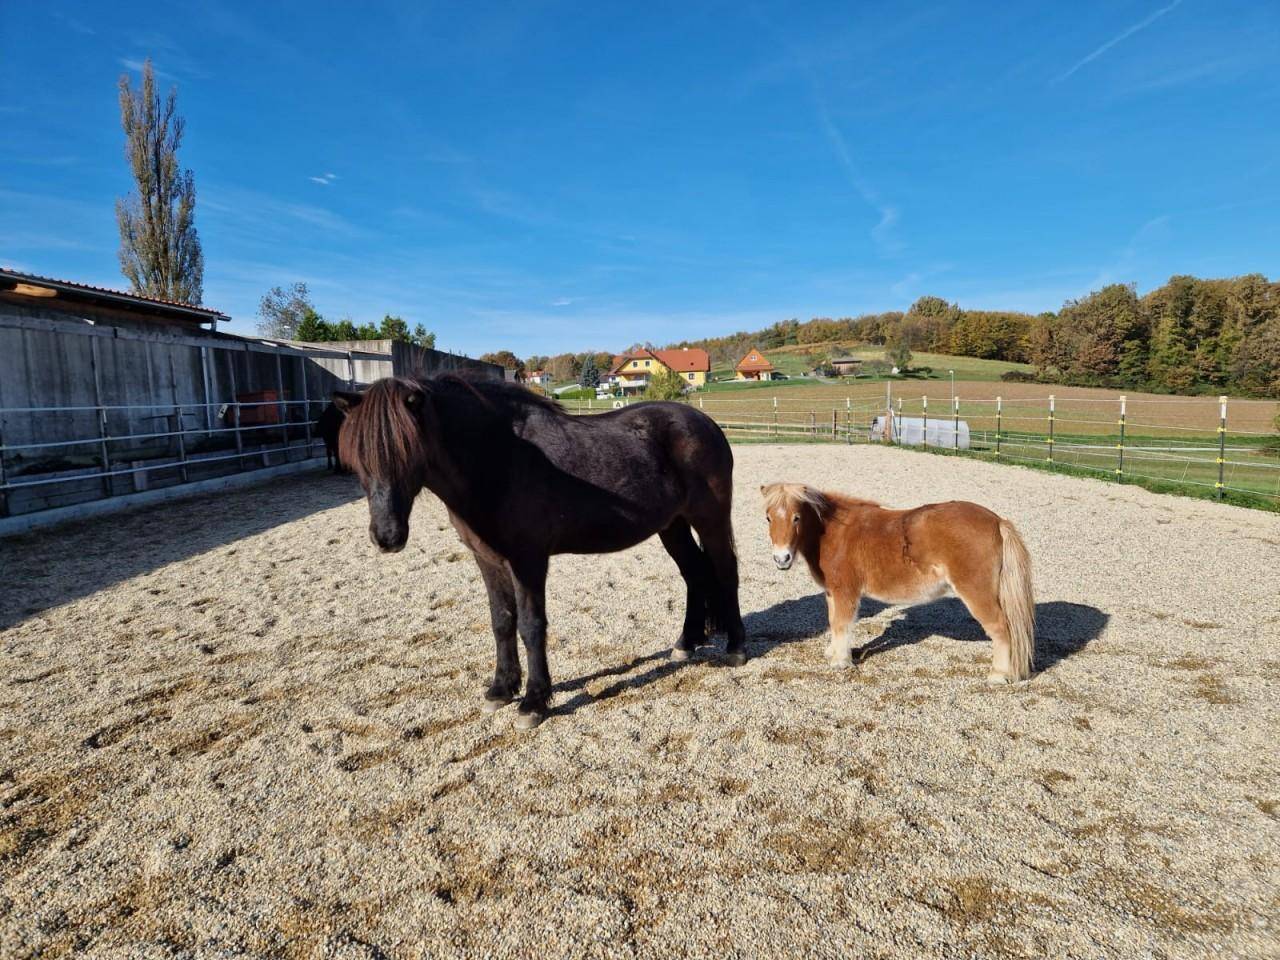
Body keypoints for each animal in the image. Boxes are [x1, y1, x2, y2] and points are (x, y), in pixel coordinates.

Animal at [334, 374, 747, 728]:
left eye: (408, 451)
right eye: (359, 458)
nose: (388, 537)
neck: (498, 461)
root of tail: (705, 422)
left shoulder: (528, 560)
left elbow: (531, 626)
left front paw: (533, 701)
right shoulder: (487, 559)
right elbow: (502, 621)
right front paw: (501, 690)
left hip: (709, 519)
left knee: (725, 572)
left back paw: (736, 647)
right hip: (671, 525)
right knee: (694, 574)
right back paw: (685, 644)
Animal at [760, 483, 1035, 684]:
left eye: (797, 518)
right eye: (768, 518)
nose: (781, 558)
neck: (833, 532)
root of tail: (998, 522)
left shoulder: (846, 592)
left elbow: (842, 624)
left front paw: (840, 662)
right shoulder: (831, 592)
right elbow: (833, 622)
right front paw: (832, 652)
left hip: (976, 592)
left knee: (1000, 628)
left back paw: (998, 676)